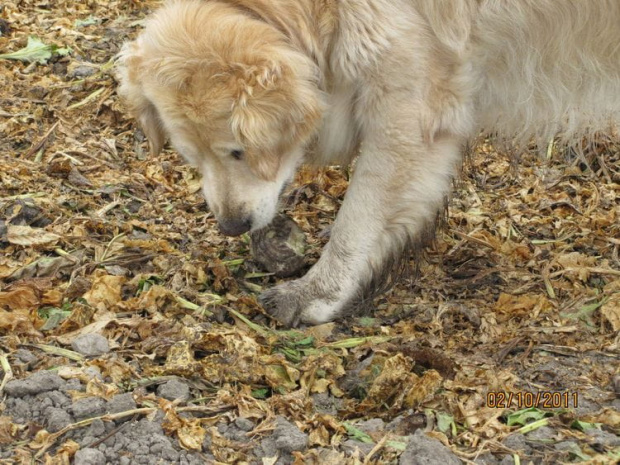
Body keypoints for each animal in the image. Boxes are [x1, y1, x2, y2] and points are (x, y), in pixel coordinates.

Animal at [116, 0, 620, 326]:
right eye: (192, 157)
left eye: (240, 150)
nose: (232, 226)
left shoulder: (407, 111)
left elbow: (357, 220)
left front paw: (317, 294)